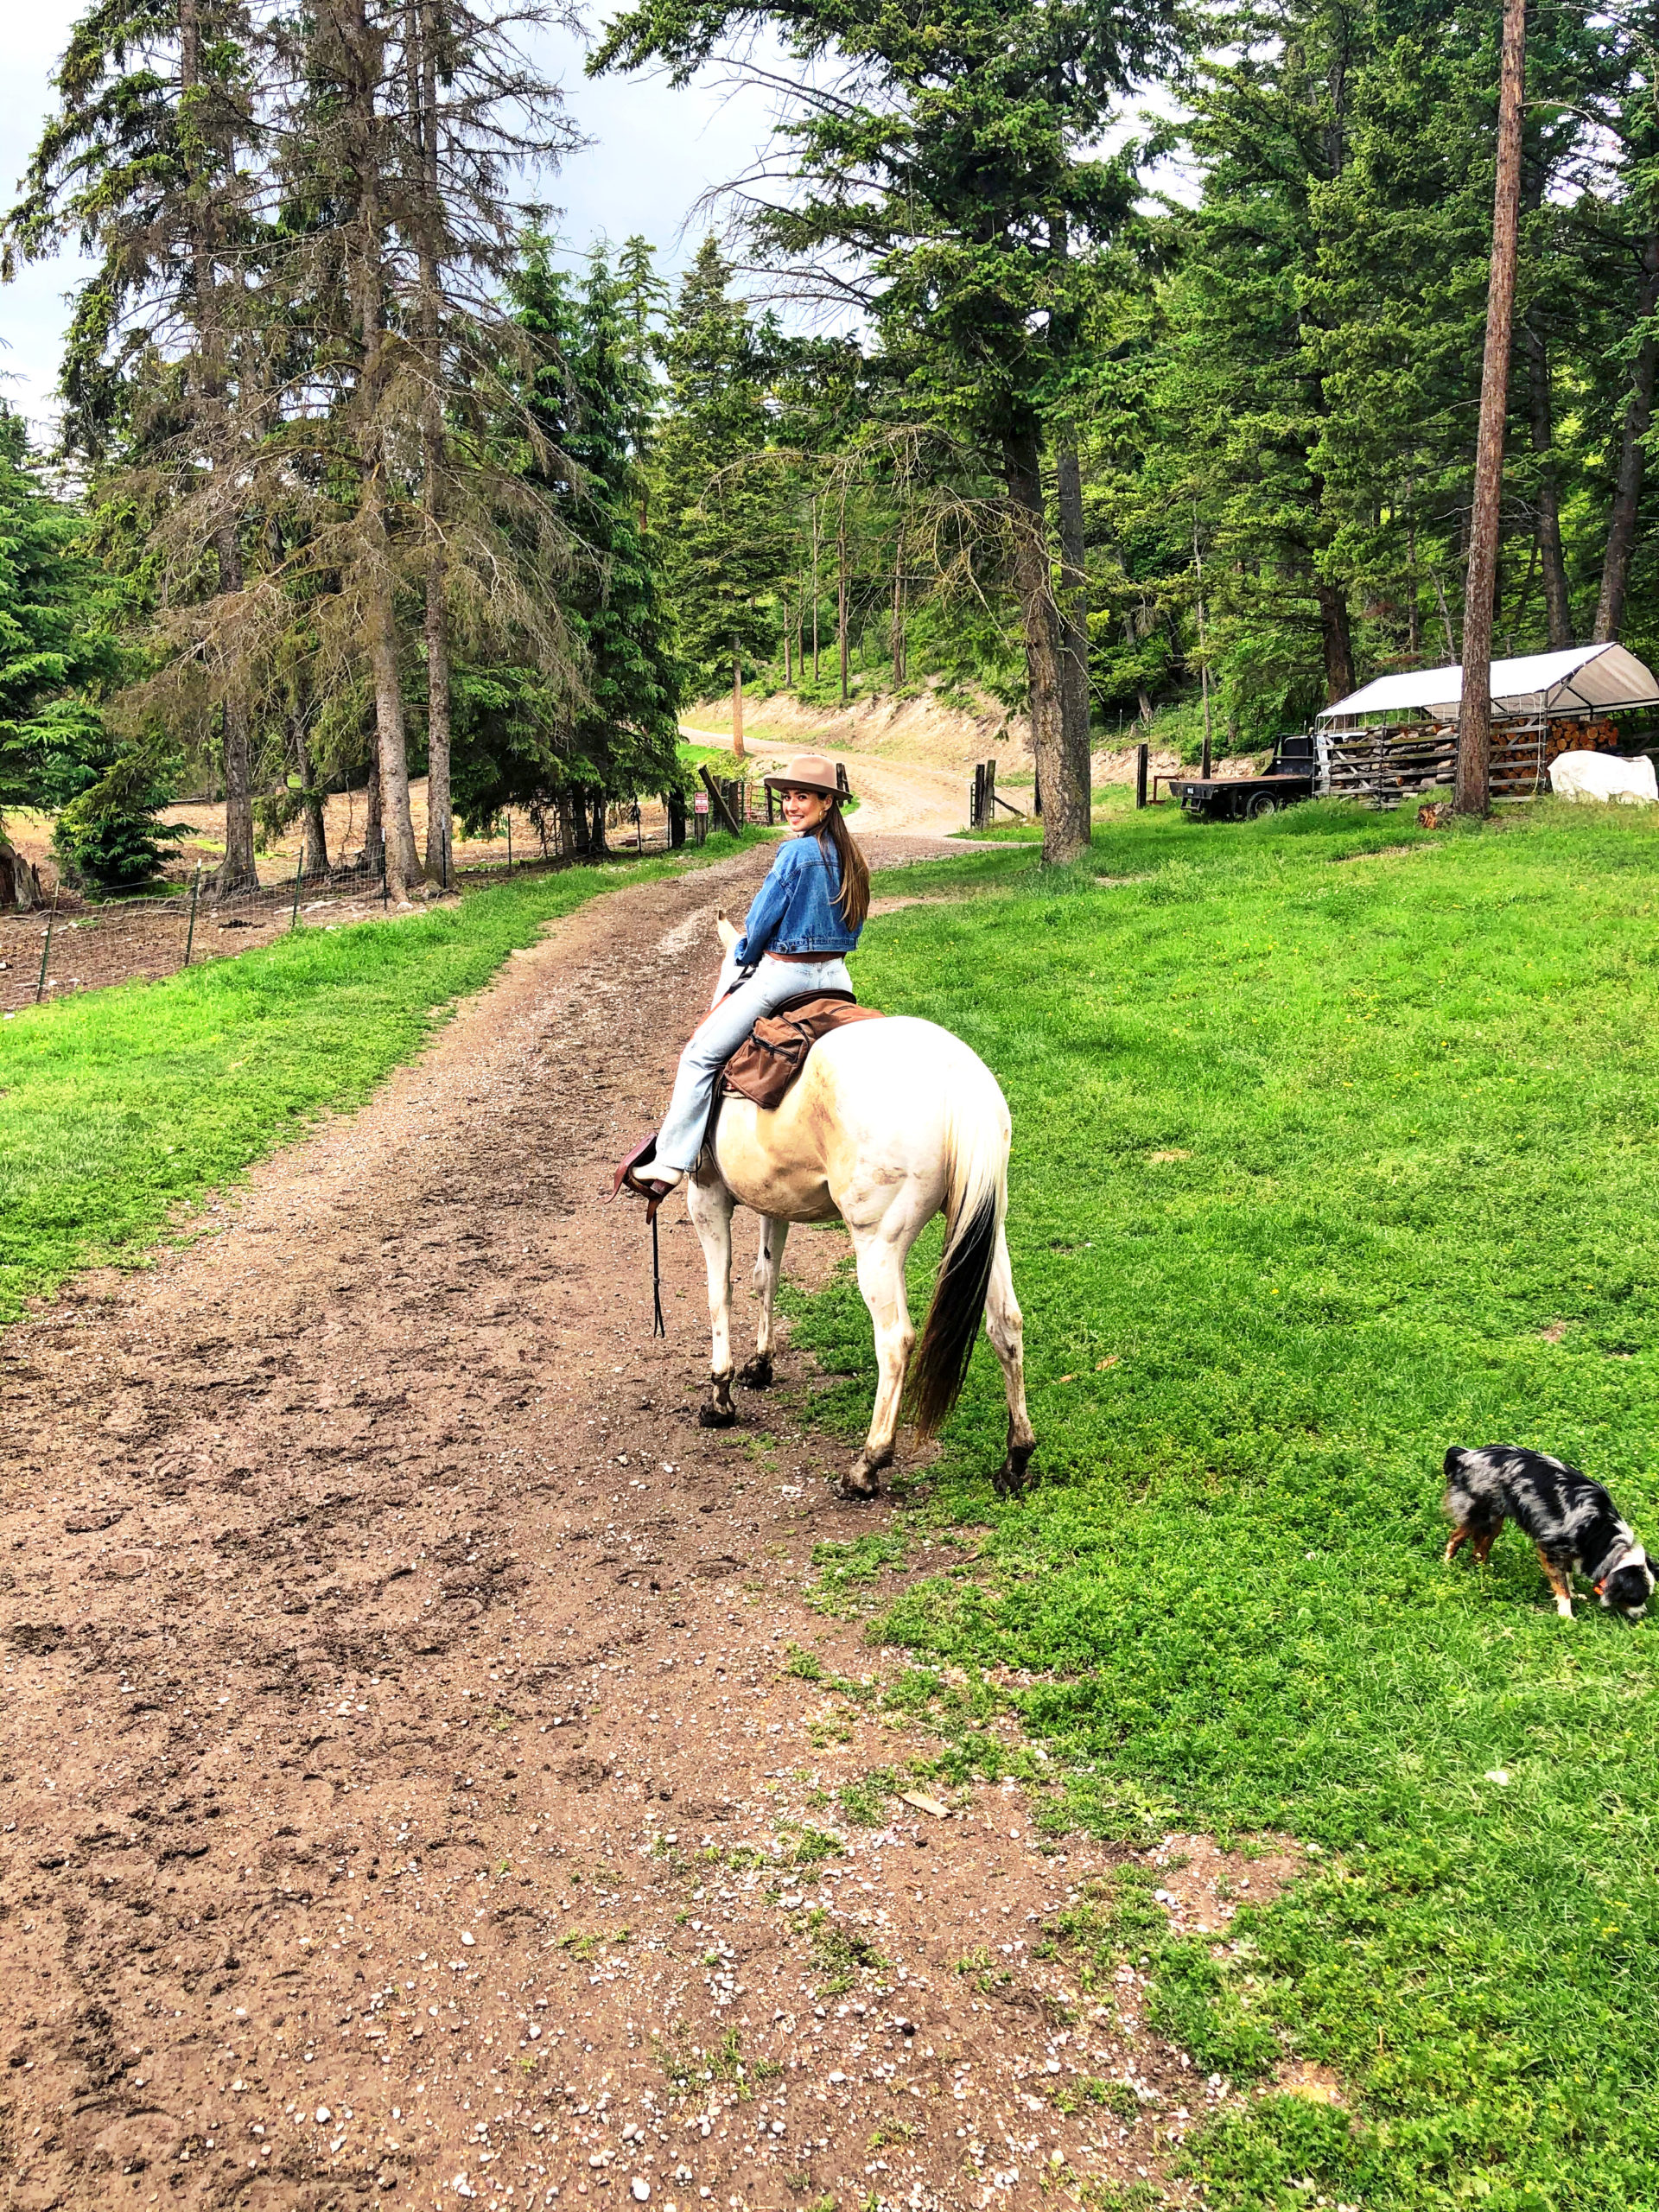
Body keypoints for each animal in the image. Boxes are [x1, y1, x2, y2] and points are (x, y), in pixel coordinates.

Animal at [681, 906, 1035, 1495]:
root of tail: (960, 1081)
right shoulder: (776, 1204)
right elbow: (765, 1277)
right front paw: (760, 1365)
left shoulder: (707, 1198)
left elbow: (719, 1294)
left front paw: (720, 1395)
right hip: (986, 1224)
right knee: (1005, 1323)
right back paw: (1017, 1459)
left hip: (879, 1242)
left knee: (895, 1340)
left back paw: (868, 1465)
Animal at [1442, 1451, 1654, 1628]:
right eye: (1636, 1598)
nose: (1642, 1615)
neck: (1599, 1531)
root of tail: (1465, 1455)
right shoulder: (1551, 1547)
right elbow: (1562, 1586)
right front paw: (1567, 1615)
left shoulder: (1569, 1550)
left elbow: (1567, 1576)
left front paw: (1574, 1594)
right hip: (1481, 1514)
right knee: (1456, 1537)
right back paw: (1447, 1565)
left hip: (1494, 1522)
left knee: (1480, 1549)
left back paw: (1483, 1574)